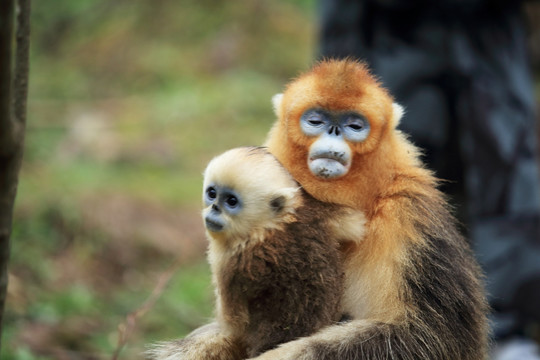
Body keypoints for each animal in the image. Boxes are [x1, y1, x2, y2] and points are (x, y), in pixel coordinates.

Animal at [204, 147, 368, 358]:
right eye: (212, 193)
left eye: (231, 201)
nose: (214, 208)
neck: (272, 226)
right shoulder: (312, 211)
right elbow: (357, 224)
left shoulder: (231, 262)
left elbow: (234, 322)